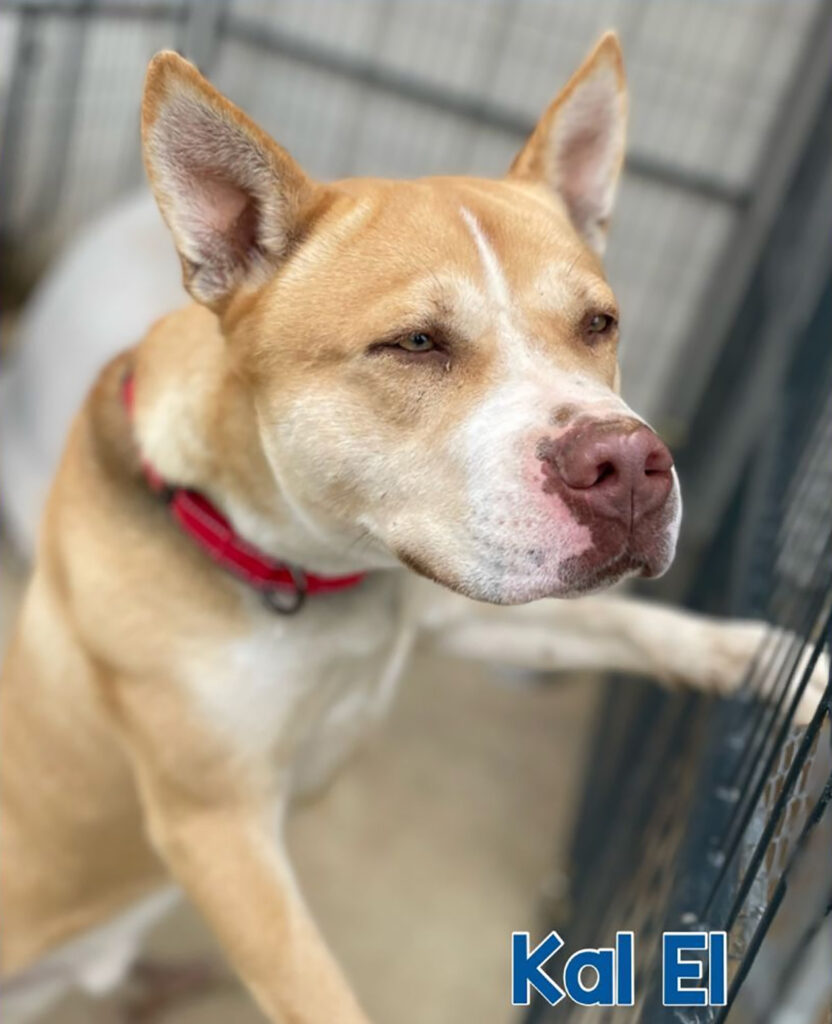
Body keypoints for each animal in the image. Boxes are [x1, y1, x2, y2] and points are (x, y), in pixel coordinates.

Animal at [0, 34, 825, 1024]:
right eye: (416, 344)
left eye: (599, 324)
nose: (627, 467)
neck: (308, 573)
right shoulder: (217, 832)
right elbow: (314, 989)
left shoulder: (457, 603)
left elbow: (634, 625)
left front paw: (785, 664)